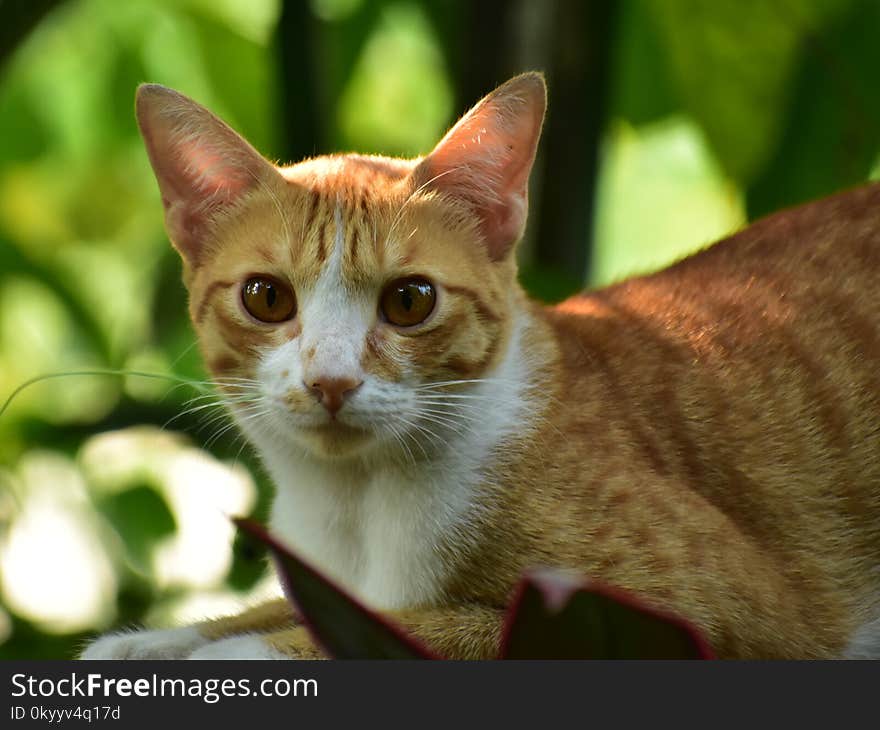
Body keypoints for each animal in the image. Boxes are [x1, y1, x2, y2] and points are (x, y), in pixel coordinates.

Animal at [82, 74, 880, 660]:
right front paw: (150, 643)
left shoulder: (711, 615)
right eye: (266, 297)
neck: (359, 507)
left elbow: (421, 628)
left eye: (409, 301)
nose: (331, 380)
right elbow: (266, 609)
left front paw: (226, 655)